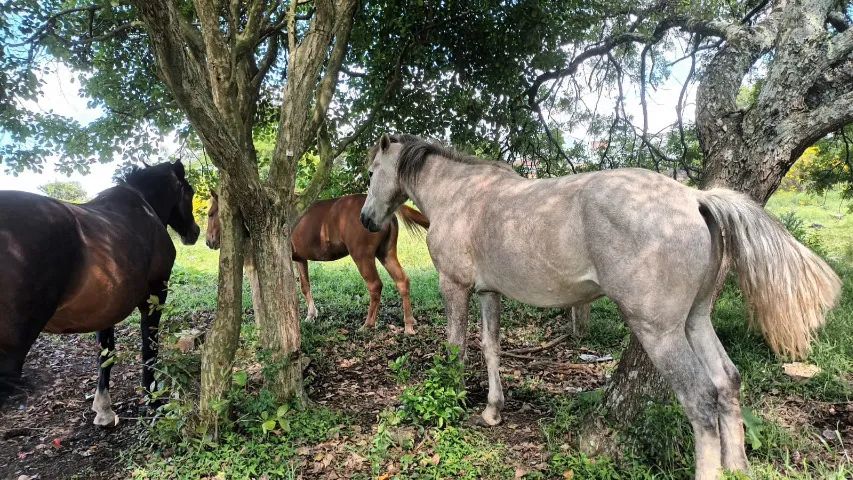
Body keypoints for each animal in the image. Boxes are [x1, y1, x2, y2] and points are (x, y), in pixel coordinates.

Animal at [0, 161, 200, 426]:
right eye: (189, 191)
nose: (195, 232)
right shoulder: (155, 296)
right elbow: (149, 348)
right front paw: (153, 400)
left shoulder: (106, 306)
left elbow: (106, 353)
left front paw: (104, 409)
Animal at [205, 193, 429, 334]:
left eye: (211, 213)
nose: (209, 241)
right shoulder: (300, 260)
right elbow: (305, 286)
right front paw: (311, 315)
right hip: (386, 254)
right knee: (402, 281)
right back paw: (409, 324)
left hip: (363, 257)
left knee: (375, 286)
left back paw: (368, 324)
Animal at [359, 134, 841, 480]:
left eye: (371, 172)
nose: (366, 219)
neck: (463, 196)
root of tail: (693, 198)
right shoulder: (488, 294)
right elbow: (491, 348)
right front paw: (494, 409)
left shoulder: (455, 288)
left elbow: (456, 348)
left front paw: (452, 400)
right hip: (695, 322)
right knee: (727, 383)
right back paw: (737, 467)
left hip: (661, 333)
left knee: (701, 400)